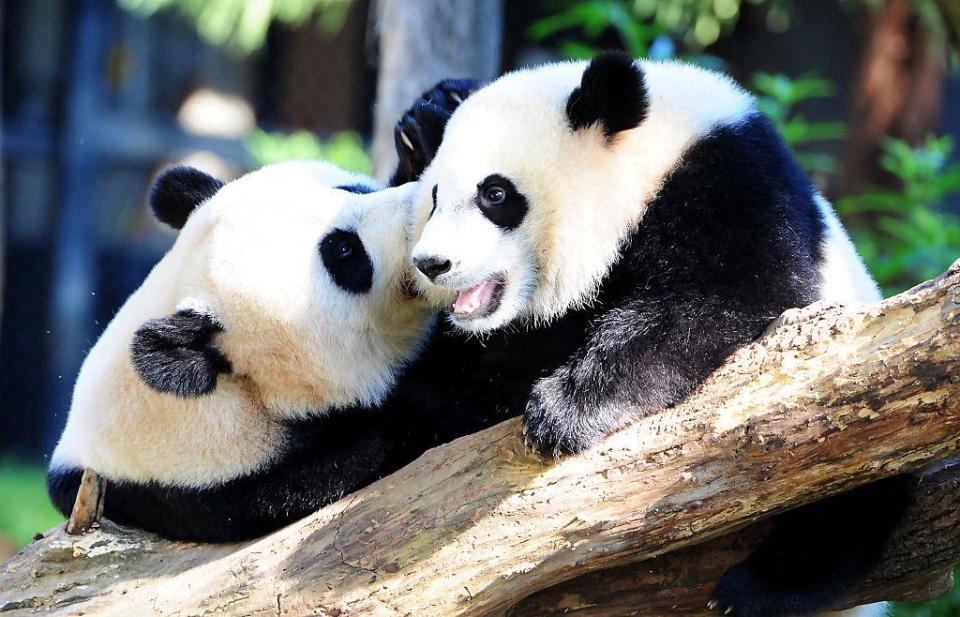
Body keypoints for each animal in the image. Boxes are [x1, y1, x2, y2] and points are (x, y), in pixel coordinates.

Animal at [394, 53, 904, 616]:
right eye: (434, 198)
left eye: (496, 193)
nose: (432, 263)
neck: (651, 160)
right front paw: (426, 117)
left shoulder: (734, 188)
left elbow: (728, 298)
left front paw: (565, 410)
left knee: (848, 483)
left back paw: (760, 589)